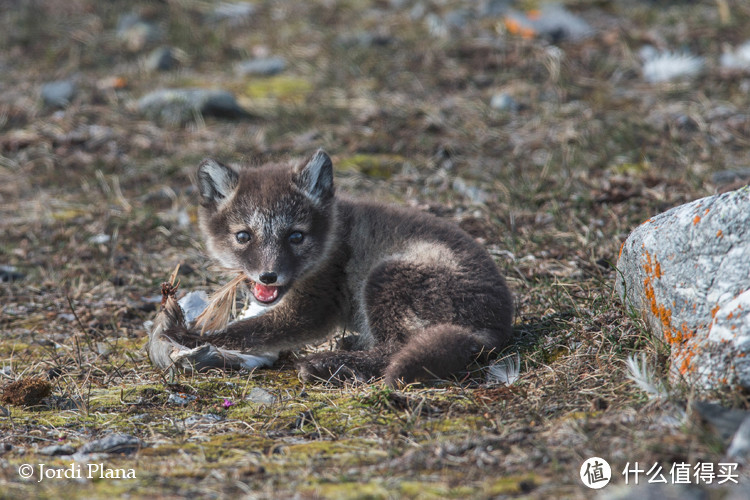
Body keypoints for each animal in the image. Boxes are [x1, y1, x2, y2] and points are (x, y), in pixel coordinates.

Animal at [155, 149, 516, 386]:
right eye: (243, 236)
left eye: (296, 236)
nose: (268, 275)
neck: (334, 239)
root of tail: (494, 326)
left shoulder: (312, 308)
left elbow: (245, 331)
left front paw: (185, 336)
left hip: (384, 277)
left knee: (395, 349)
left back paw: (327, 365)